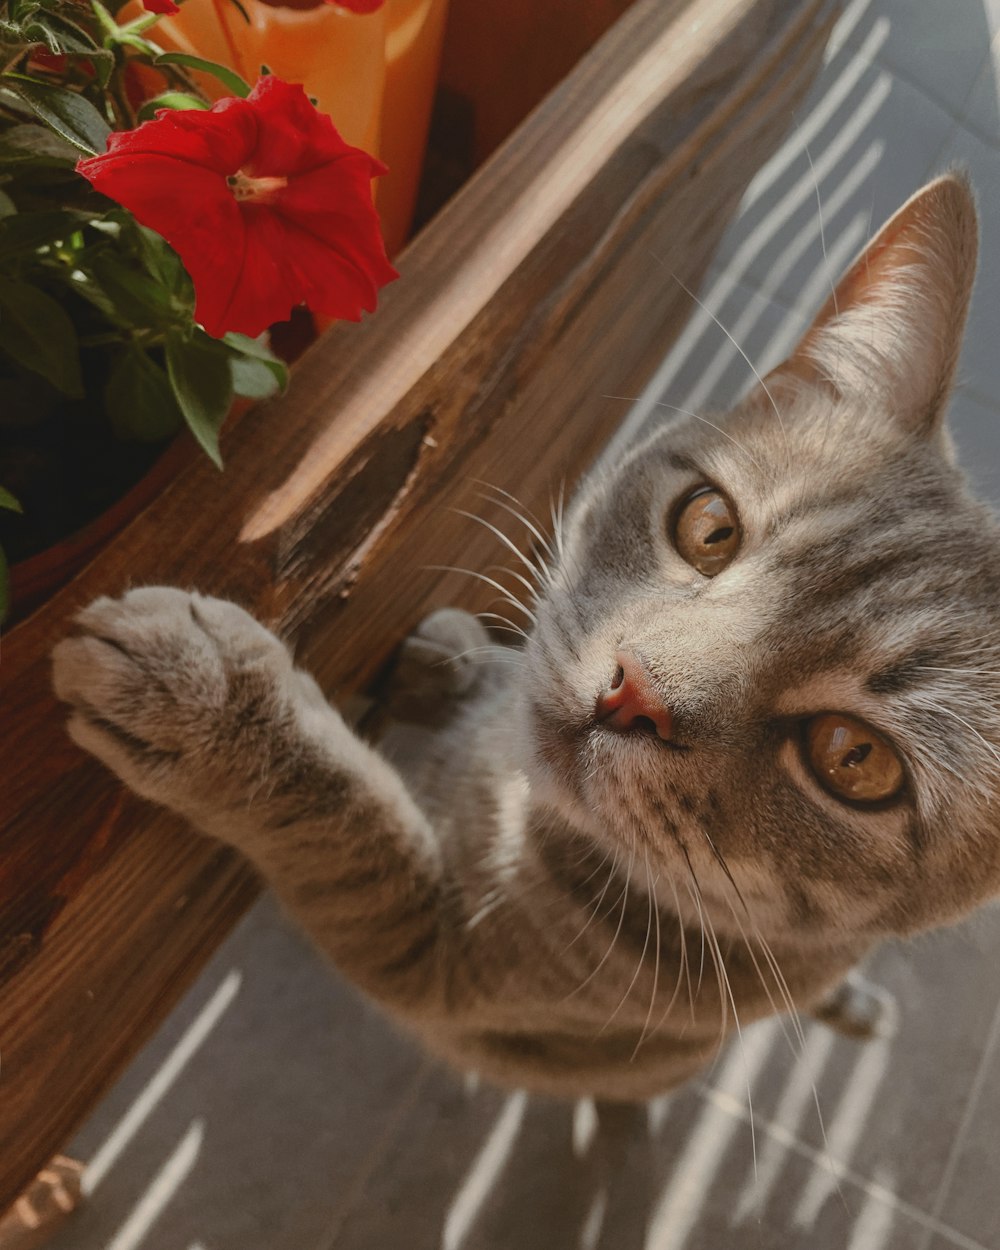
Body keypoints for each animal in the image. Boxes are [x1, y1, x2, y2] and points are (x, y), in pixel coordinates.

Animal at [50, 171, 995, 1100]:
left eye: (855, 759)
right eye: (710, 527)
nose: (633, 689)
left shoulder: (437, 962)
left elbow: (357, 830)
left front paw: (213, 703)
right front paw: (455, 659)